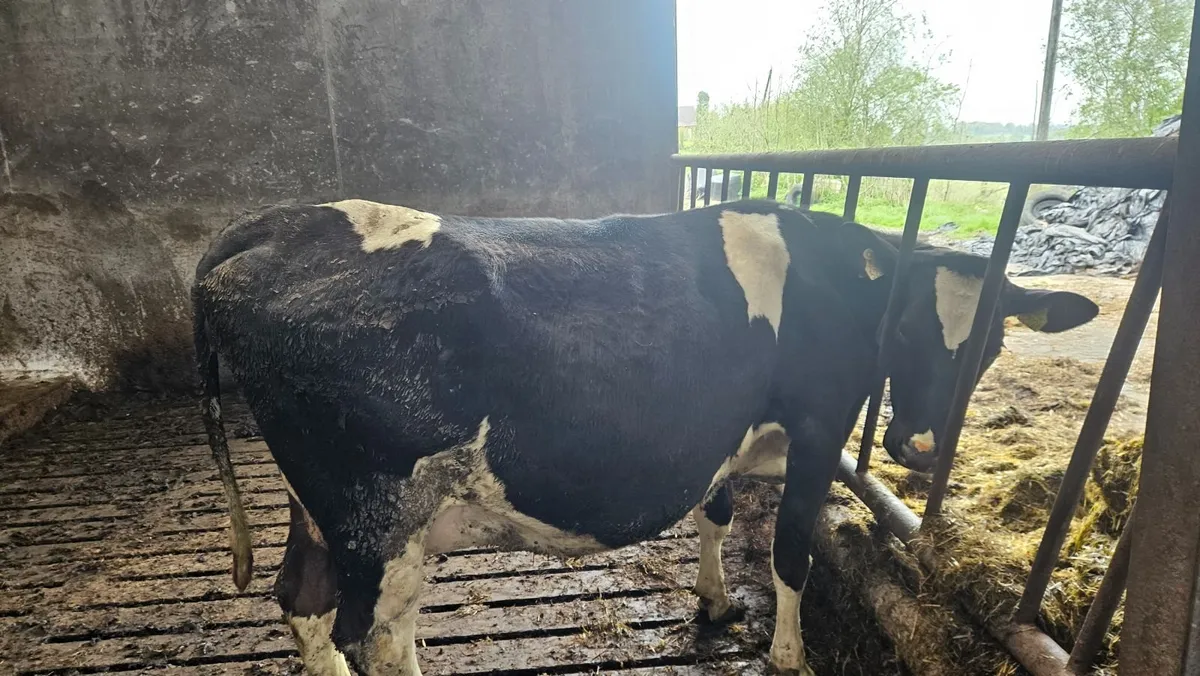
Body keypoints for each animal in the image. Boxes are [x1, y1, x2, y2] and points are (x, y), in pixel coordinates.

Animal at [193, 199, 1098, 675]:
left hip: (320, 513)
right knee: (378, 636)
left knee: (302, 604)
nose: (918, 447)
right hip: (382, 522)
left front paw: (714, 601)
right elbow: (792, 555)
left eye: (993, 344)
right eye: (906, 332)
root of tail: (285, 221)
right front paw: (789, 654)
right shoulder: (816, 429)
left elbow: (717, 515)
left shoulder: (724, 434)